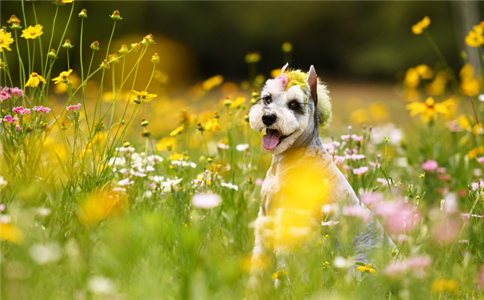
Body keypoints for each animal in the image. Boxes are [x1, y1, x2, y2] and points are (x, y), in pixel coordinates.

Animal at [250, 63, 394, 286]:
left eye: (294, 104)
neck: (288, 160)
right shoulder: (265, 220)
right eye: (267, 98)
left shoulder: (291, 226)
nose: (268, 117)